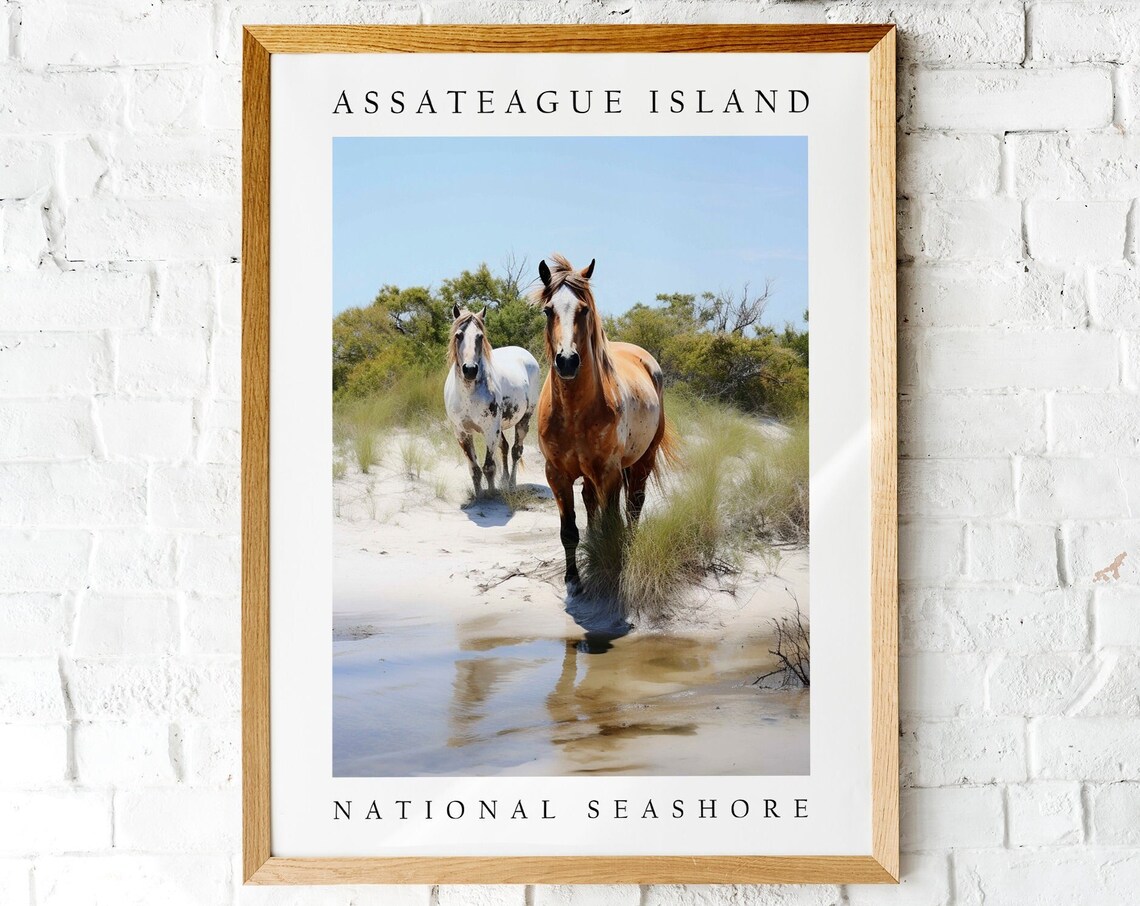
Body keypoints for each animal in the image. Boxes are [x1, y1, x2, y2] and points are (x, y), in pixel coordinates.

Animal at [444, 304, 541, 496]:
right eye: (458, 335)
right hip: (500, 426)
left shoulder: (490, 430)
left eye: (480, 336)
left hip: (523, 420)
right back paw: (504, 481)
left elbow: (489, 467)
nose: (470, 370)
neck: (468, 394)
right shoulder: (462, 433)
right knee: (505, 447)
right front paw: (479, 495)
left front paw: (491, 494)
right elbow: (474, 469)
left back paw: (511, 484)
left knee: (516, 451)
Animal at [534, 255, 674, 593]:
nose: (567, 361)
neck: (574, 411)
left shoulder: (609, 473)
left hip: (642, 460)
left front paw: (611, 570)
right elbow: (569, 530)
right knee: (590, 501)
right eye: (548, 310)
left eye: (584, 309)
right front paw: (573, 578)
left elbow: (614, 523)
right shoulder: (556, 475)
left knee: (634, 505)